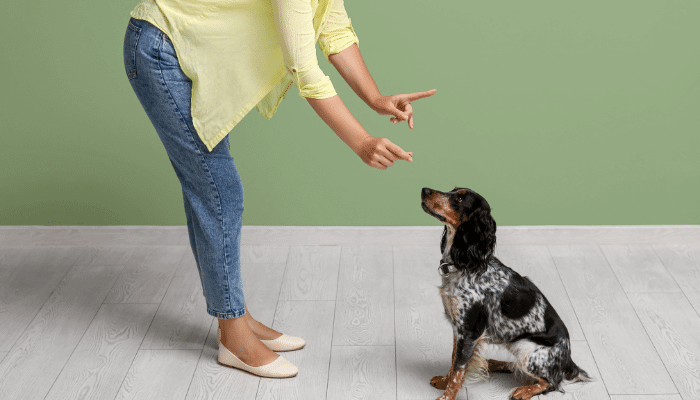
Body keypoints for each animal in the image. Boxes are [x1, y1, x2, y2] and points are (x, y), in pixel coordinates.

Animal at [422, 188, 592, 400]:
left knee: (552, 382)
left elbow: (458, 368)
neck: (467, 265)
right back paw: (495, 363)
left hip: (527, 350)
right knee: (516, 367)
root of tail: (568, 360)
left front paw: (446, 396)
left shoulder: (469, 331)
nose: (424, 190)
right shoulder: (457, 328)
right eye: (452, 190)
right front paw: (444, 382)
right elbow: (454, 361)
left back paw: (523, 391)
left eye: (460, 197)